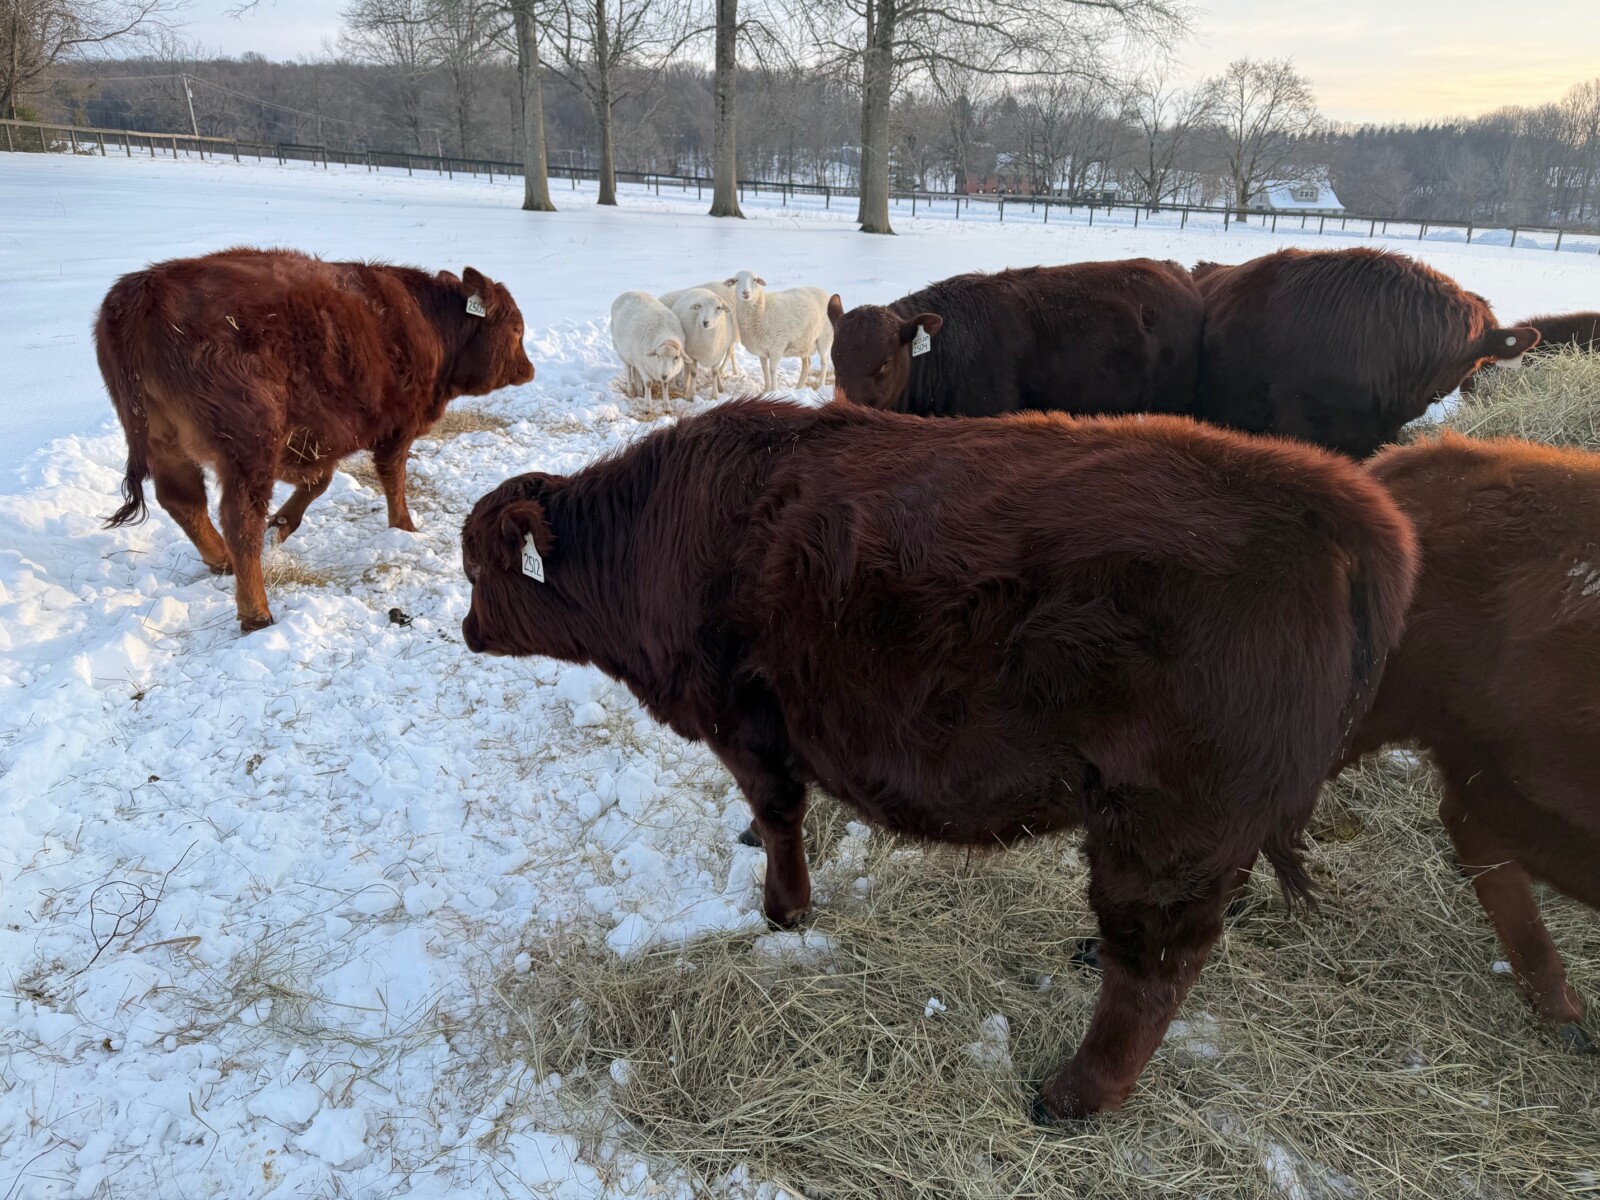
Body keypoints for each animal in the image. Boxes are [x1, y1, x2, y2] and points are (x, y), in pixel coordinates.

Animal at [97, 247, 534, 632]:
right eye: (516, 329)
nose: (528, 369)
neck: (428, 321)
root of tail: (144, 290)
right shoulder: (394, 428)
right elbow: (392, 478)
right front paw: (405, 527)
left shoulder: (316, 439)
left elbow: (318, 482)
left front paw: (282, 525)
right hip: (248, 448)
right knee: (240, 521)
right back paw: (256, 613)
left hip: (166, 444)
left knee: (183, 501)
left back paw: (221, 561)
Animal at [459, 397, 1417, 1120]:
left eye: (475, 572)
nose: (465, 629)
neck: (659, 537)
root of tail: (1334, 507)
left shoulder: (746, 724)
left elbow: (780, 815)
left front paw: (783, 912)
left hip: (1162, 824)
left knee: (1155, 970)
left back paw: (1072, 1096)